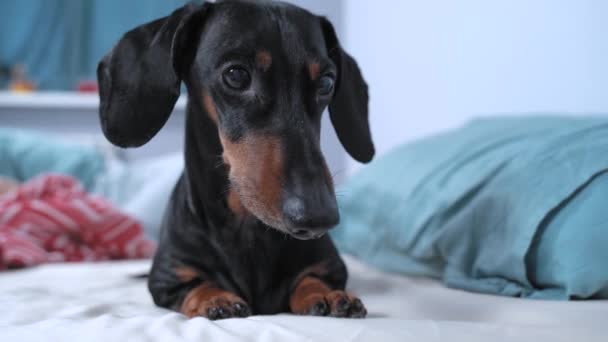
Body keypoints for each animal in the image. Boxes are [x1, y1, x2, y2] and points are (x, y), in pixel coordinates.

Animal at [97, 0, 372, 320]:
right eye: (237, 75)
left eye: (327, 82)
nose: (320, 218)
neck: (248, 228)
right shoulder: (167, 278)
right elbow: (196, 285)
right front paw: (216, 298)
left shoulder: (331, 267)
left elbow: (311, 278)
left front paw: (327, 294)